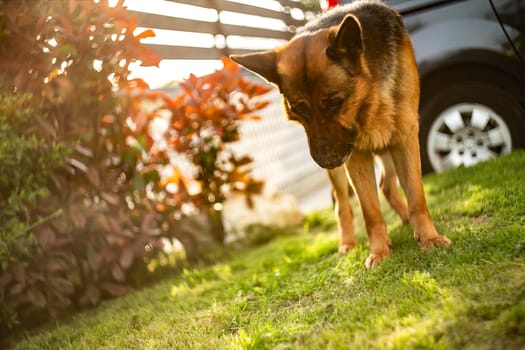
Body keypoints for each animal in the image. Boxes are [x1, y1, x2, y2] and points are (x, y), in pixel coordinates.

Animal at [230, 0, 450, 268]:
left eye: (335, 102)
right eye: (299, 111)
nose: (325, 161)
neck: (371, 98)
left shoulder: (405, 137)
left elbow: (416, 195)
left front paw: (429, 238)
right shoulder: (356, 155)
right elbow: (370, 211)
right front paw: (380, 252)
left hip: (386, 147)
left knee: (387, 185)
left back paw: (407, 219)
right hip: (345, 170)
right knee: (343, 202)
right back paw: (347, 243)